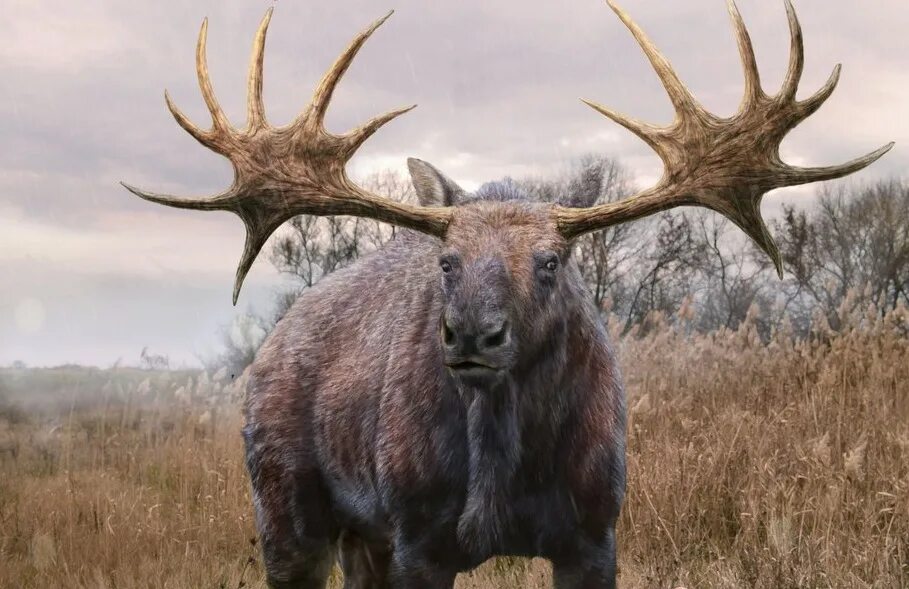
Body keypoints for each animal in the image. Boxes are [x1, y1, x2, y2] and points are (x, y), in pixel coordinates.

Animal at [123, 1, 892, 587]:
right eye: (446, 261)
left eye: (552, 260)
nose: (472, 333)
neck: (501, 473)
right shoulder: (418, 537)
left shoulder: (595, 532)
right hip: (284, 503)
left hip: (358, 533)